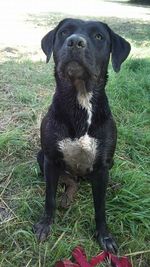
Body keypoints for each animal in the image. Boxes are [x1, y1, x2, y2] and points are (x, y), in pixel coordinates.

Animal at [33, 18, 130, 253]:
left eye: (99, 37)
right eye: (64, 32)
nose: (75, 42)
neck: (80, 99)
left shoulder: (102, 165)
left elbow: (100, 207)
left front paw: (104, 235)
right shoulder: (50, 159)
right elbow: (49, 198)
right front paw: (45, 224)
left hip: (106, 164)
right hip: (42, 156)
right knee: (71, 181)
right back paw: (67, 197)